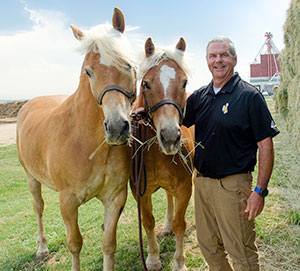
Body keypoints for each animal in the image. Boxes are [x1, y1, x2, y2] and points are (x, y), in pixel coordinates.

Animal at [17, 8, 137, 271]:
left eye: (128, 65)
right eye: (88, 71)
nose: (116, 128)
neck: (86, 142)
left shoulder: (115, 198)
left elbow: (108, 244)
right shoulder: (68, 202)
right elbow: (75, 244)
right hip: (31, 178)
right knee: (38, 208)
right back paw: (41, 248)